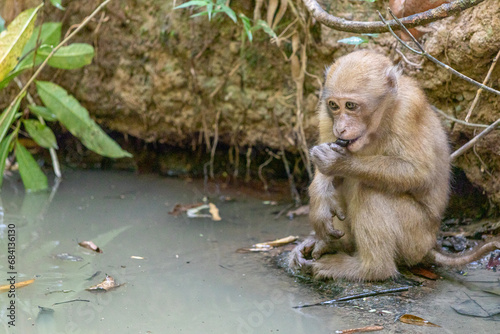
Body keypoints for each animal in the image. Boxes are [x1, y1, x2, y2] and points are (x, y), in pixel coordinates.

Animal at [290, 49, 500, 280]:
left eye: (351, 106)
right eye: (334, 106)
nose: (341, 128)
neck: (380, 119)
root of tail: (430, 247)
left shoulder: (408, 110)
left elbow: (418, 173)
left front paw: (337, 161)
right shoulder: (325, 115)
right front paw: (320, 200)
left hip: (415, 237)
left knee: (369, 190)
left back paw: (370, 268)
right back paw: (332, 245)